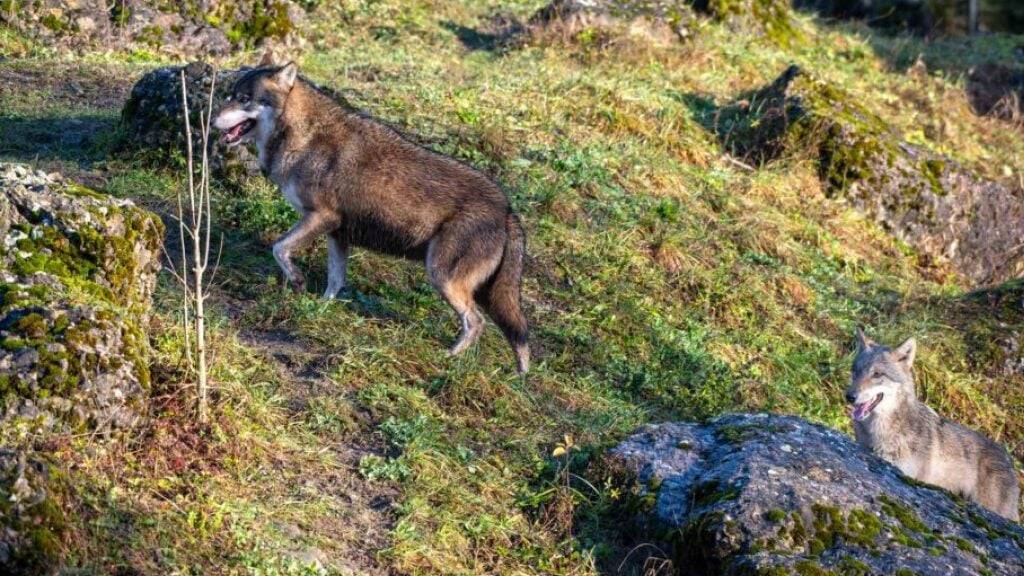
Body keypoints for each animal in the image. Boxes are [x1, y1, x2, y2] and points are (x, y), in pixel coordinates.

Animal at [217, 53, 536, 373]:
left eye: (244, 99)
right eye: (231, 95)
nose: (212, 119)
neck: (305, 137)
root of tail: (508, 210)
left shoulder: (321, 217)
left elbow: (278, 248)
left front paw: (296, 281)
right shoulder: (337, 233)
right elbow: (335, 281)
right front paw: (318, 308)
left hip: (442, 277)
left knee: (476, 322)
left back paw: (449, 358)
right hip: (478, 289)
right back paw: (516, 375)